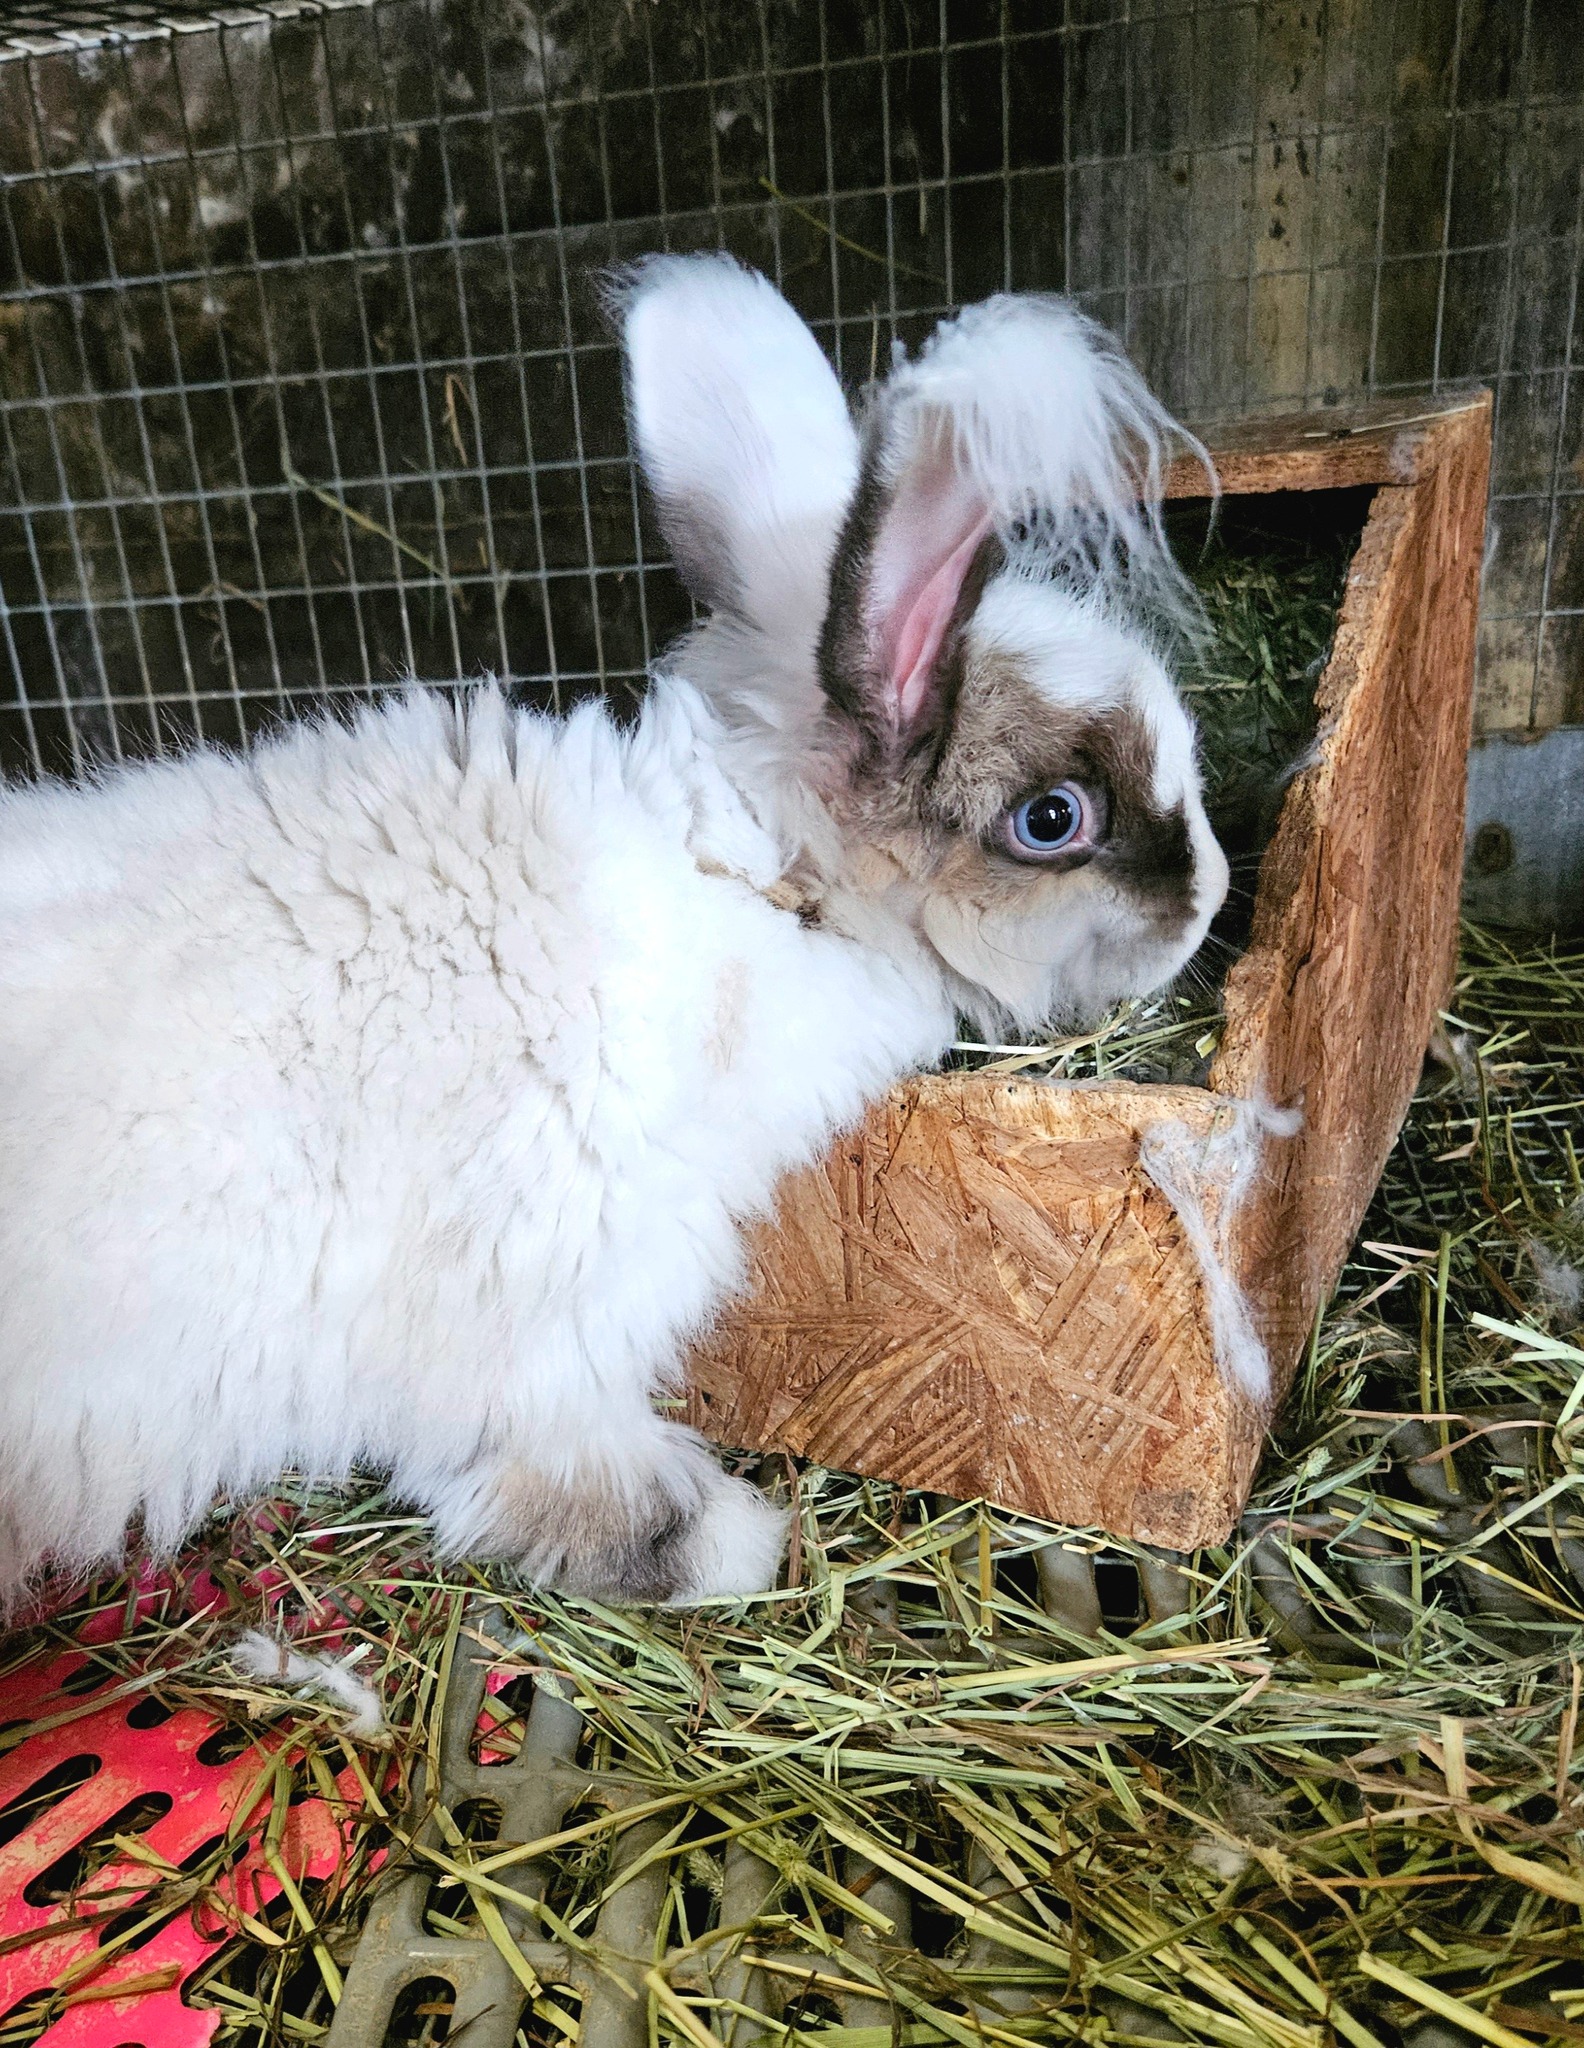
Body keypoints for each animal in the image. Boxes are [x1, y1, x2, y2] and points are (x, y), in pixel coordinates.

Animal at [0, 255, 1228, 1612]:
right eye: (1055, 817)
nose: (1214, 895)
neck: (755, 884)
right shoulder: (540, 1352)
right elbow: (614, 1505)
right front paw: (748, 1539)